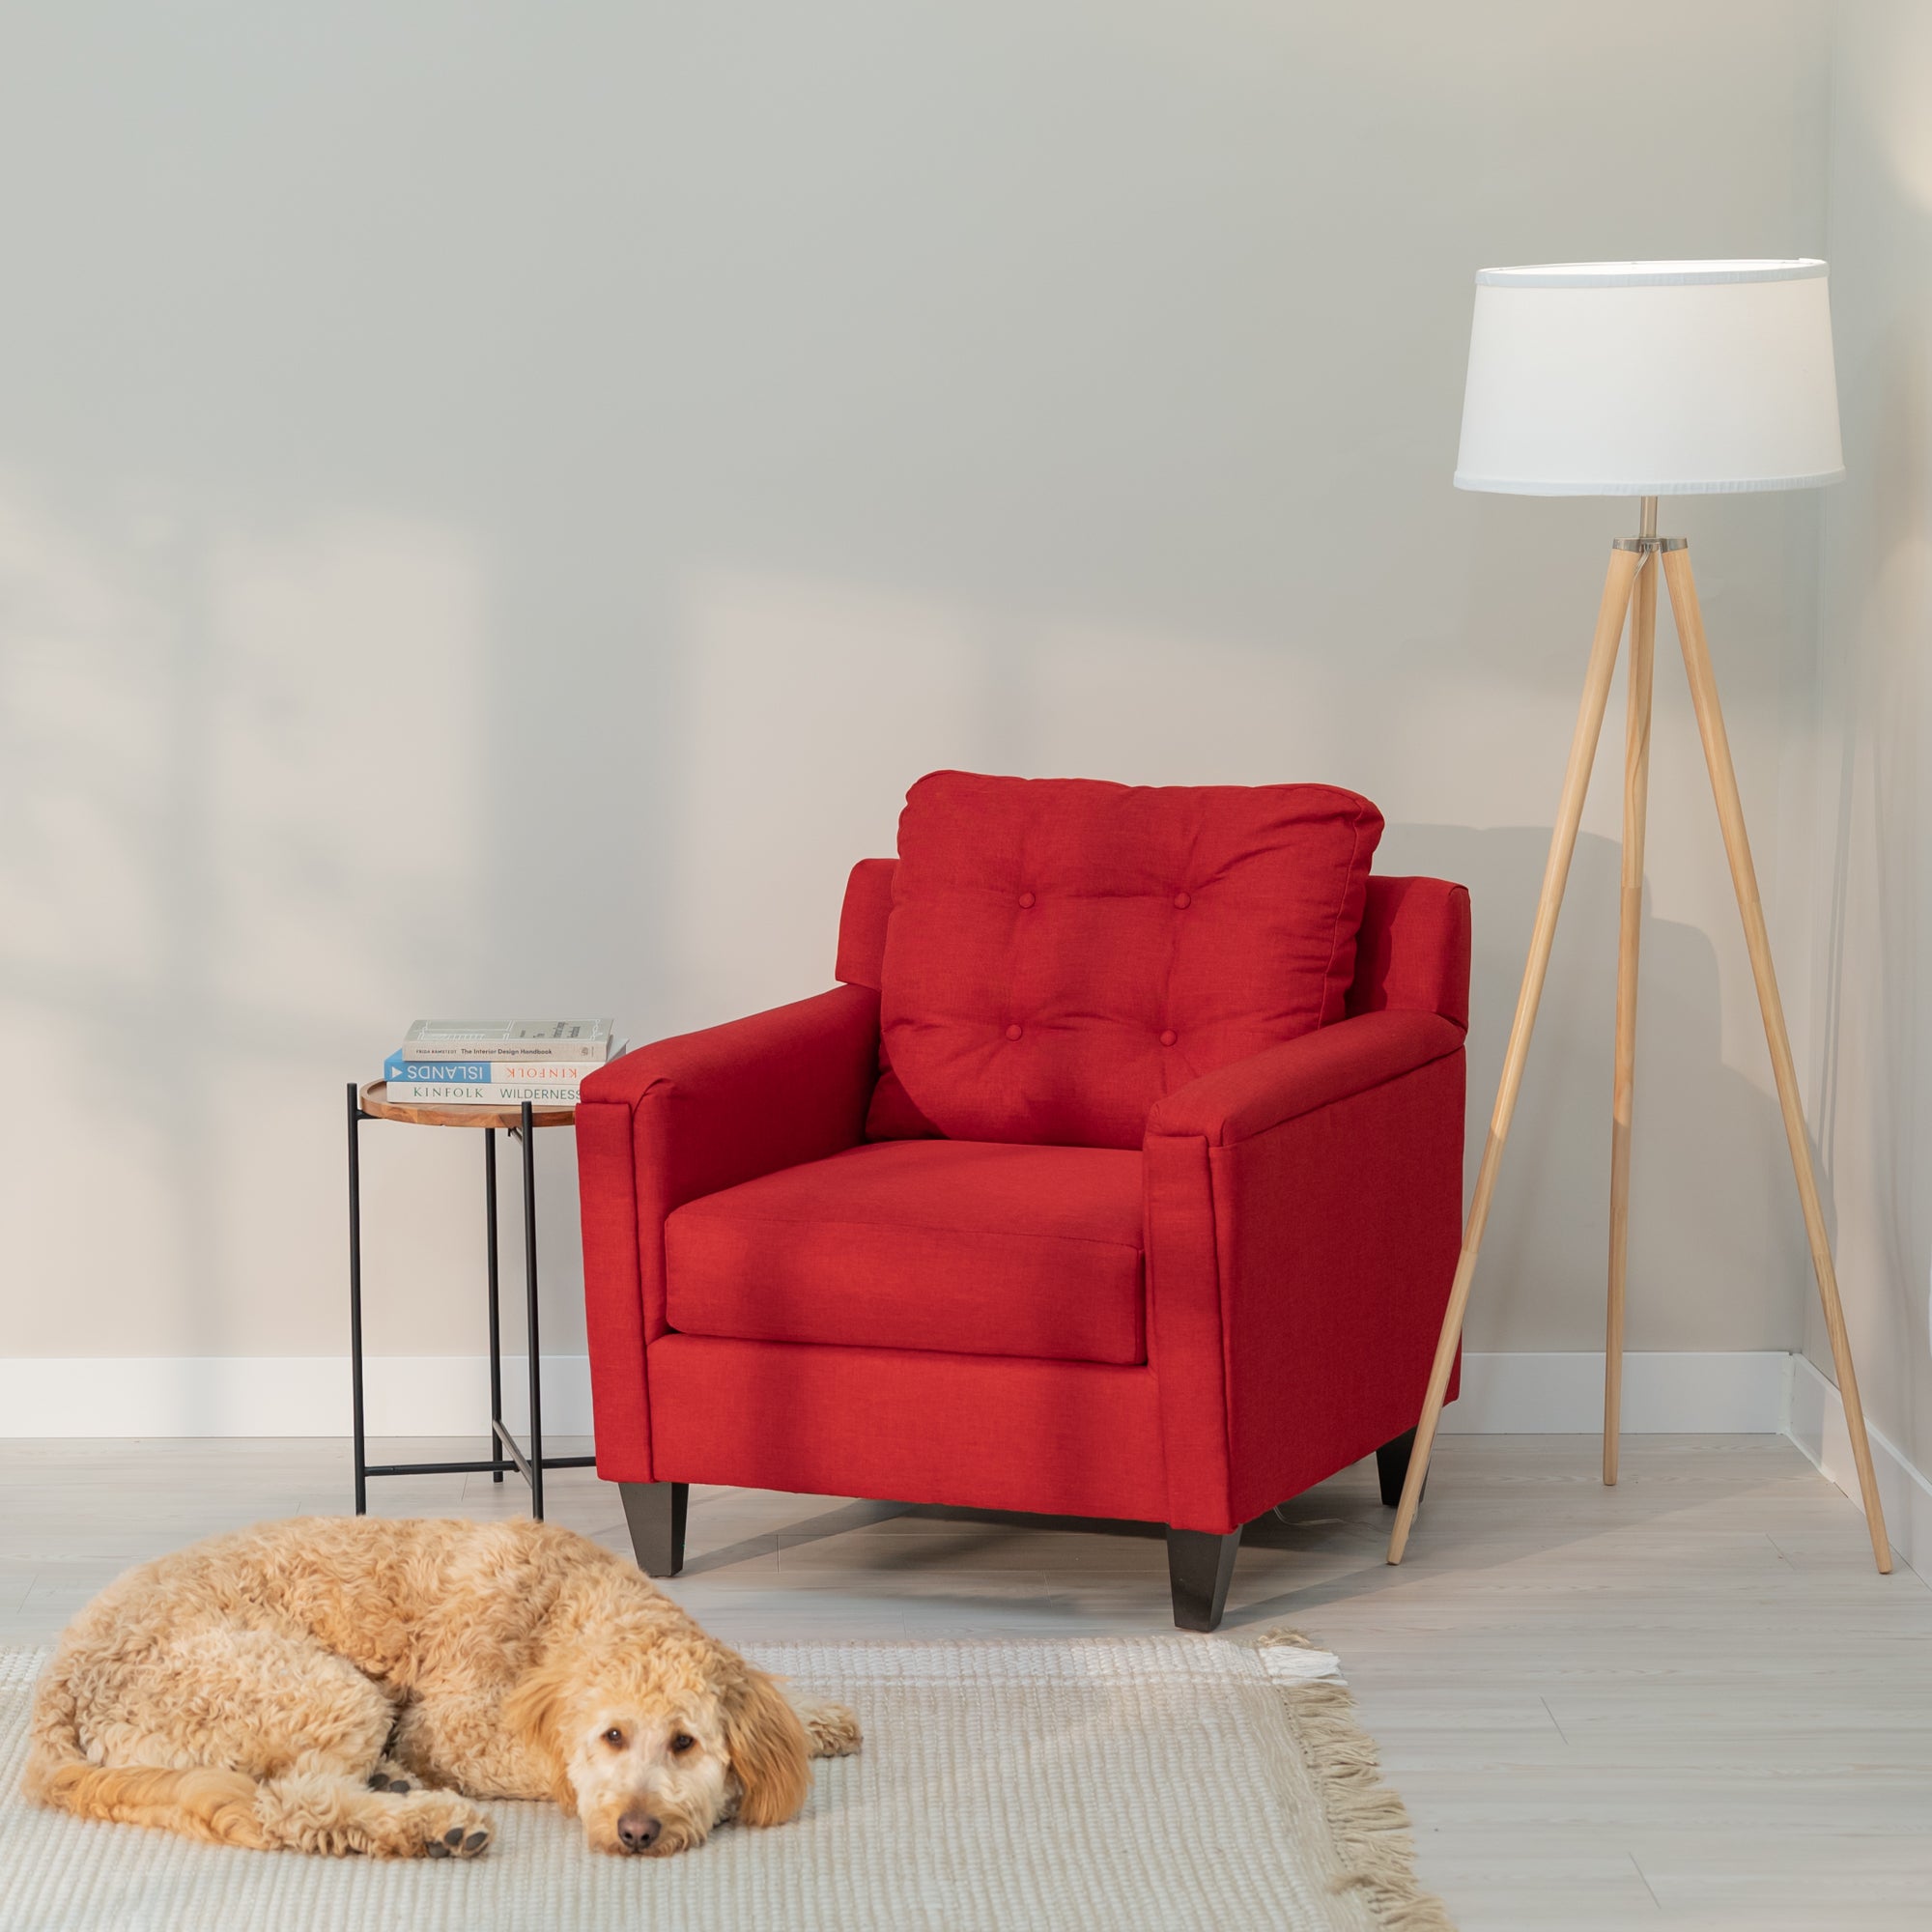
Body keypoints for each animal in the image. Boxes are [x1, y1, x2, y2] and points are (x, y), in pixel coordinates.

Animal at [26, 1515, 858, 1862]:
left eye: (685, 1742)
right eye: (612, 1737)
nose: (639, 1831)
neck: (562, 1600)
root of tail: (61, 1678)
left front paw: (817, 1718)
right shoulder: (455, 1727)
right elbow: (537, 1761)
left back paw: (395, 1787)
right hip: (314, 1687)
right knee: (289, 1805)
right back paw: (429, 1824)